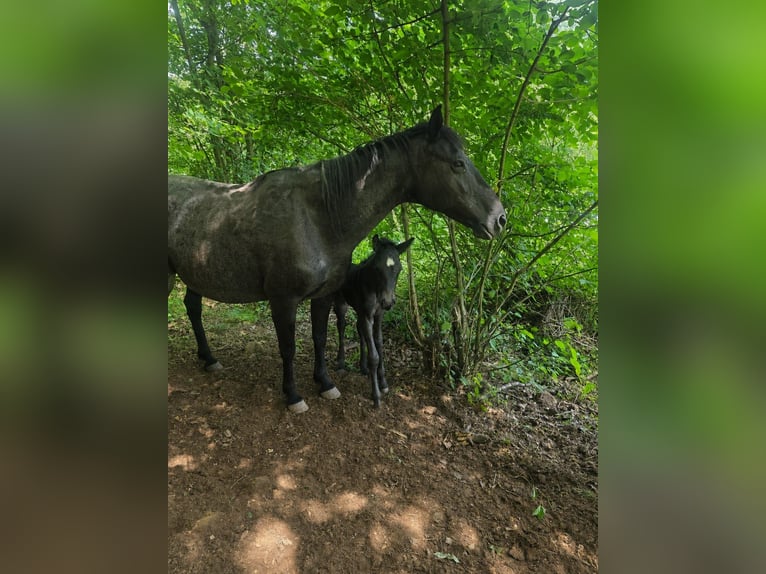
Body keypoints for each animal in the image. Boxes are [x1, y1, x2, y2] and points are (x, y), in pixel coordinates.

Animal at [334, 235, 414, 407]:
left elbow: (379, 343)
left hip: (359, 310)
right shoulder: (368, 315)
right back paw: (341, 362)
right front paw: (376, 396)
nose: (388, 302)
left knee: (359, 330)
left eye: (399, 269)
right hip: (340, 303)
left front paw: (383, 383)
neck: (374, 289)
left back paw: (363, 367)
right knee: (341, 326)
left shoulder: (378, 315)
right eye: (377, 269)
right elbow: (374, 356)